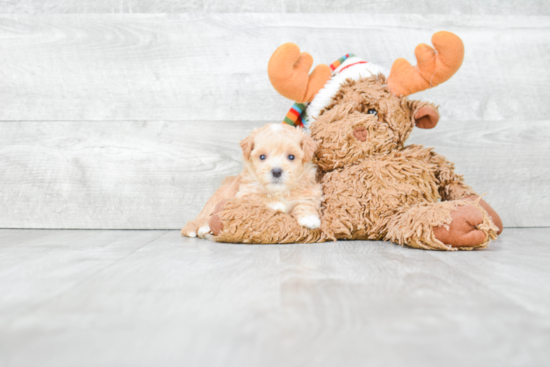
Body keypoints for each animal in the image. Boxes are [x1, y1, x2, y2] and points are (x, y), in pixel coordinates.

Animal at [183, 123, 324, 239]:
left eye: (291, 157)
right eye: (262, 157)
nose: (276, 171)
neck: (279, 191)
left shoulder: (310, 191)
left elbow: (306, 203)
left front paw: (310, 219)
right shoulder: (244, 195)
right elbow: (260, 197)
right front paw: (278, 204)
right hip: (213, 203)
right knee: (200, 220)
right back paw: (201, 228)